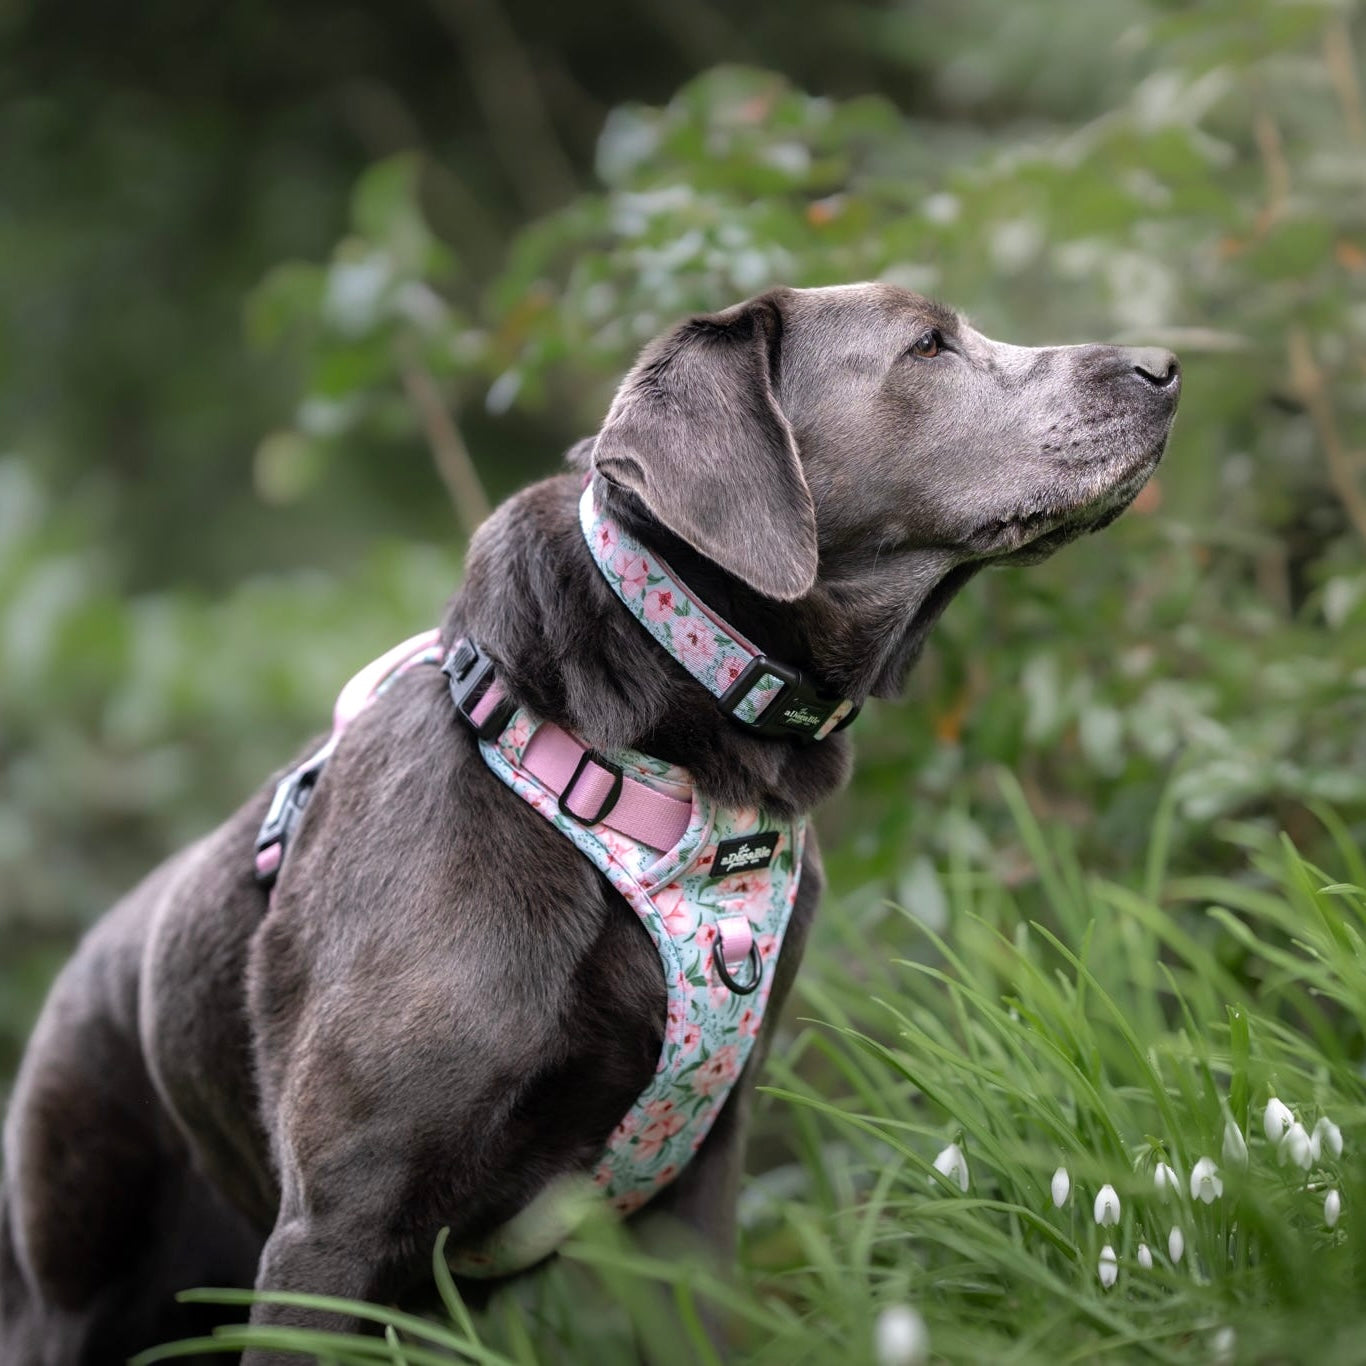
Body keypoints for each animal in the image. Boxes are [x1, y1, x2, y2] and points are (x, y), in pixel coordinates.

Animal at [0, 282, 1180, 1360]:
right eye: (927, 344)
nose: (1166, 366)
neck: (666, 759)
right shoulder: (331, 1227)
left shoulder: (696, 1190)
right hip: (75, 1280)